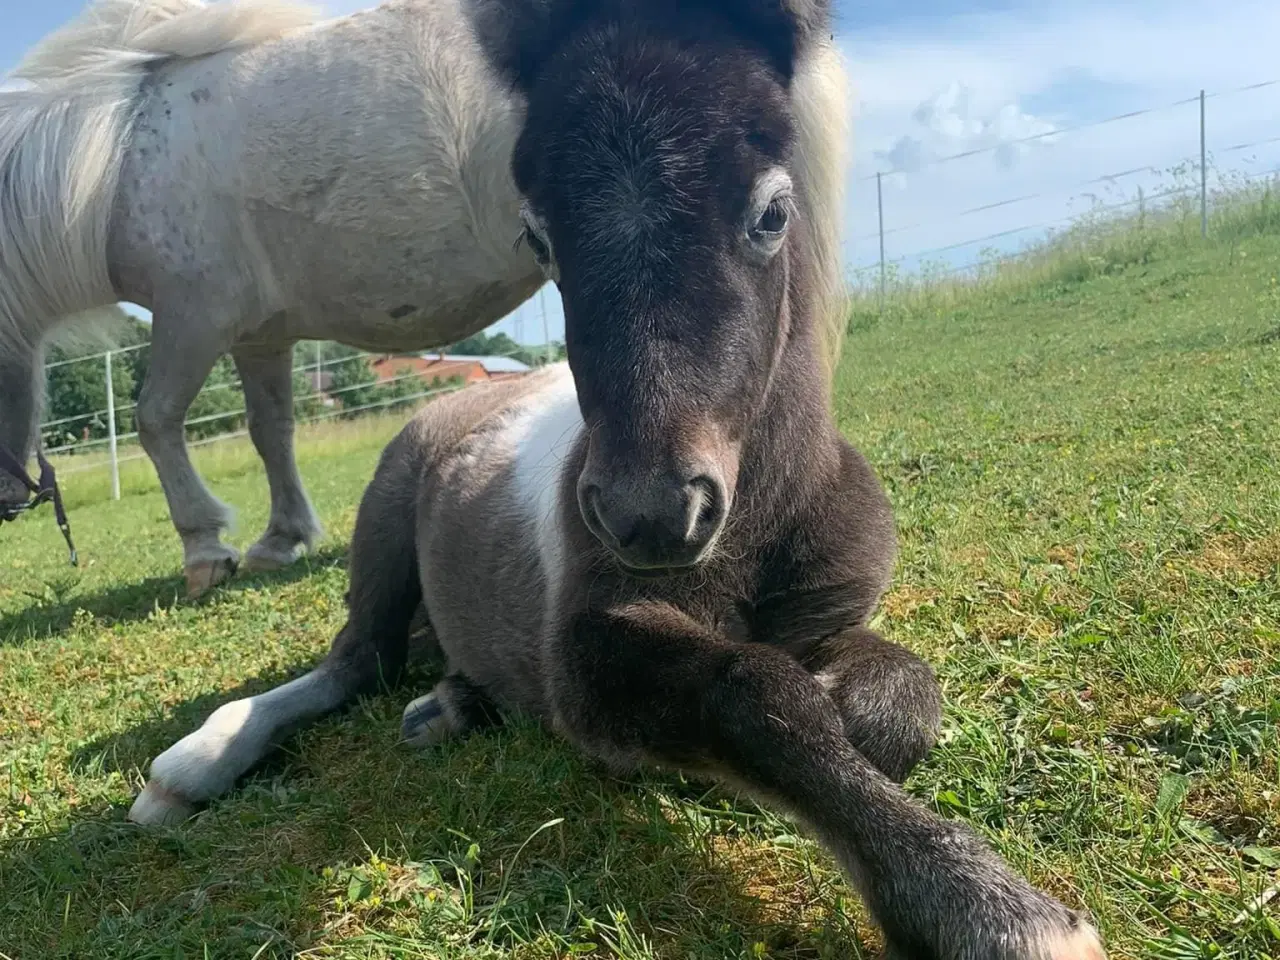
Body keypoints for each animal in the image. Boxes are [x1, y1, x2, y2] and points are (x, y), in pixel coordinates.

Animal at [0, 0, 545, 593]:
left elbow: (157, 419)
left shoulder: (194, 318)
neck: (119, 162)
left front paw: (205, 549)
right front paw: (281, 538)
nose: (6, 506)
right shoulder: (259, 339)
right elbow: (270, 431)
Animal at [135, 3, 1105, 957]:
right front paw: (990, 911)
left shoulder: (836, 612)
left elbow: (893, 698)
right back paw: (199, 762)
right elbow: (751, 688)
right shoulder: (588, 645)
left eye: (771, 213)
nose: (652, 514)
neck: (765, 521)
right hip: (384, 514)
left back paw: (449, 705)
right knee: (357, 658)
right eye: (538, 234)